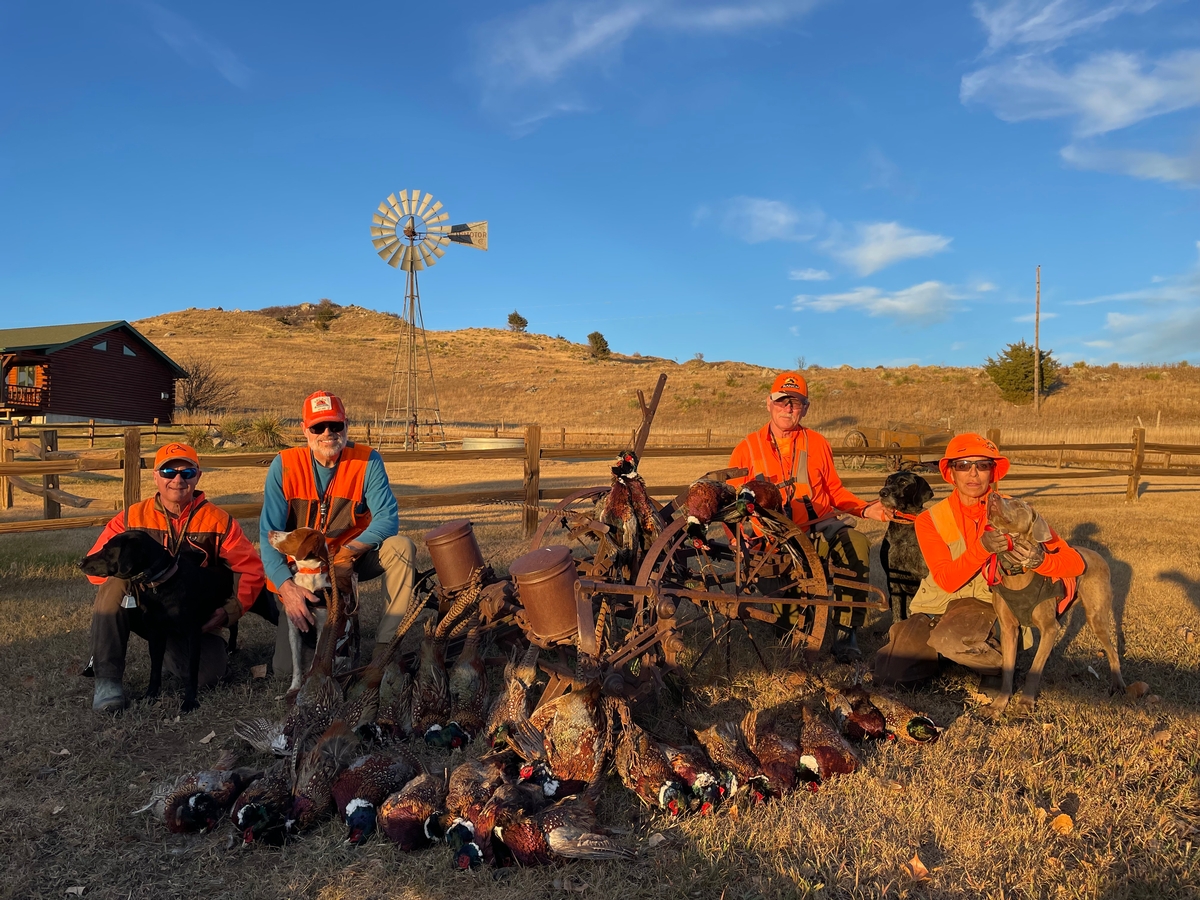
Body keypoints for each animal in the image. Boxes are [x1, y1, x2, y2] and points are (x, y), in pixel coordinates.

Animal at [80, 532, 234, 715]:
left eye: (107, 549)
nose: (80, 563)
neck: (160, 584)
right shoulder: (156, 634)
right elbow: (155, 669)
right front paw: (150, 695)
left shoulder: (192, 634)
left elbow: (192, 670)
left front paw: (189, 701)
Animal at [984, 494, 1123, 720]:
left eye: (1018, 504)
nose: (992, 496)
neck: (1018, 574)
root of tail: (1099, 555)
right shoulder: (1008, 629)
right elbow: (1007, 669)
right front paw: (999, 704)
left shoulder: (1049, 628)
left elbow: (1034, 670)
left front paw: (1025, 703)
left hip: (1096, 616)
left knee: (1112, 651)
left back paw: (1118, 685)